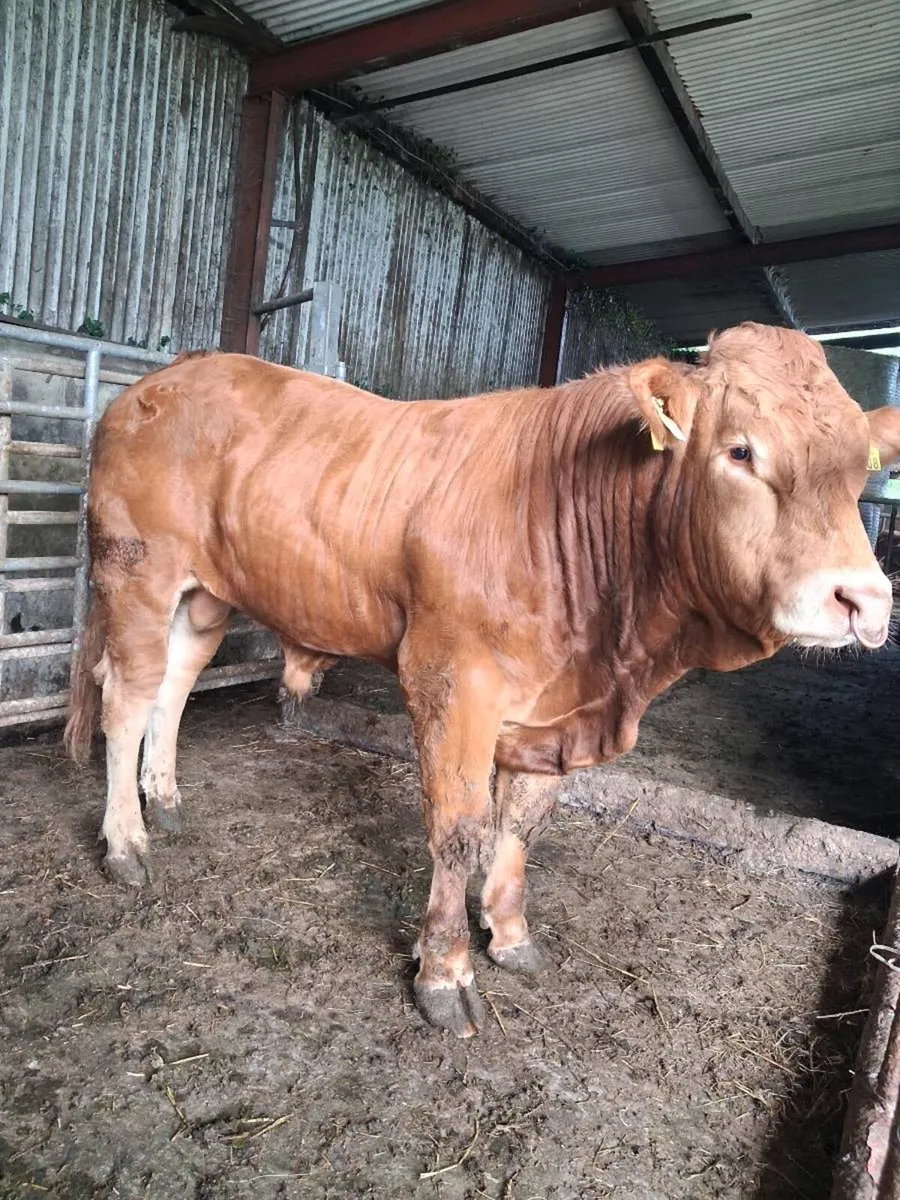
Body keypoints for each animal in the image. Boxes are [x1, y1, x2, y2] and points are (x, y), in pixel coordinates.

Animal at [65, 323, 900, 1037]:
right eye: (740, 452)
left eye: (859, 466)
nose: (863, 599)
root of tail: (175, 372)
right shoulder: (449, 679)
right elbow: (460, 829)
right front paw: (444, 970)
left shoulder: (552, 712)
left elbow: (521, 823)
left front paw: (509, 932)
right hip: (135, 574)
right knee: (126, 697)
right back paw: (127, 843)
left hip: (205, 595)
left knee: (174, 686)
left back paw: (166, 799)